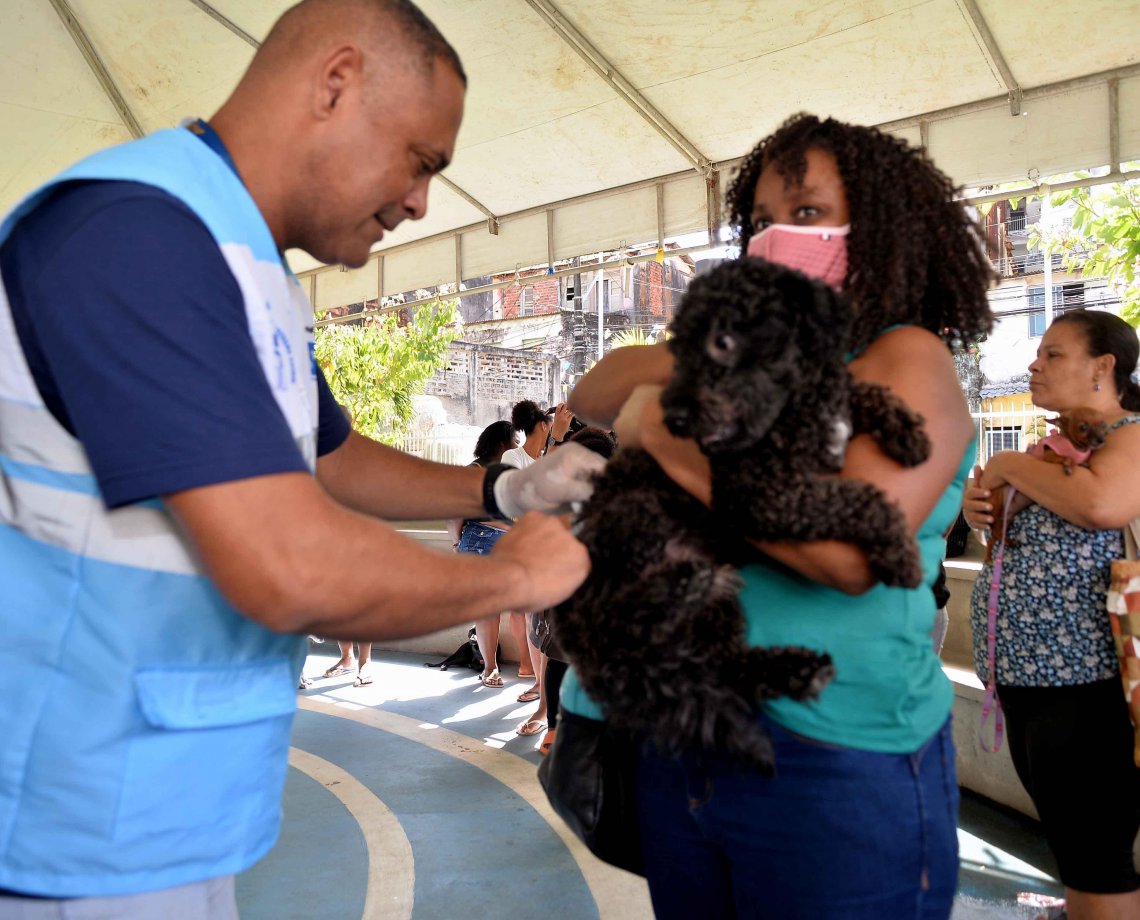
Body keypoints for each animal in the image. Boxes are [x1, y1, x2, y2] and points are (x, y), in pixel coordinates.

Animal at [556, 257, 930, 770]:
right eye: (677, 347)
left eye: (723, 341)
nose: (673, 419)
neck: (789, 409)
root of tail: (575, 631)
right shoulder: (758, 497)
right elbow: (860, 498)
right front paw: (899, 553)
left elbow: (860, 390)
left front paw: (907, 429)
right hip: (639, 517)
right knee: (629, 617)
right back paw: (680, 582)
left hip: (718, 607)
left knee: (727, 667)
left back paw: (795, 669)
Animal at [984, 408, 1108, 560]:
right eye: (1083, 427)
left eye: (1104, 425)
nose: (1101, 440)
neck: (1075, 446)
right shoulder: (1048, 456)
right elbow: (1068, 457)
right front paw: (1070, 465)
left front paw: (1083, 463)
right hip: (995, 508)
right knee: (994, 533)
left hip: (1006, 518)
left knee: (993, 538)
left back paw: (997, 551)